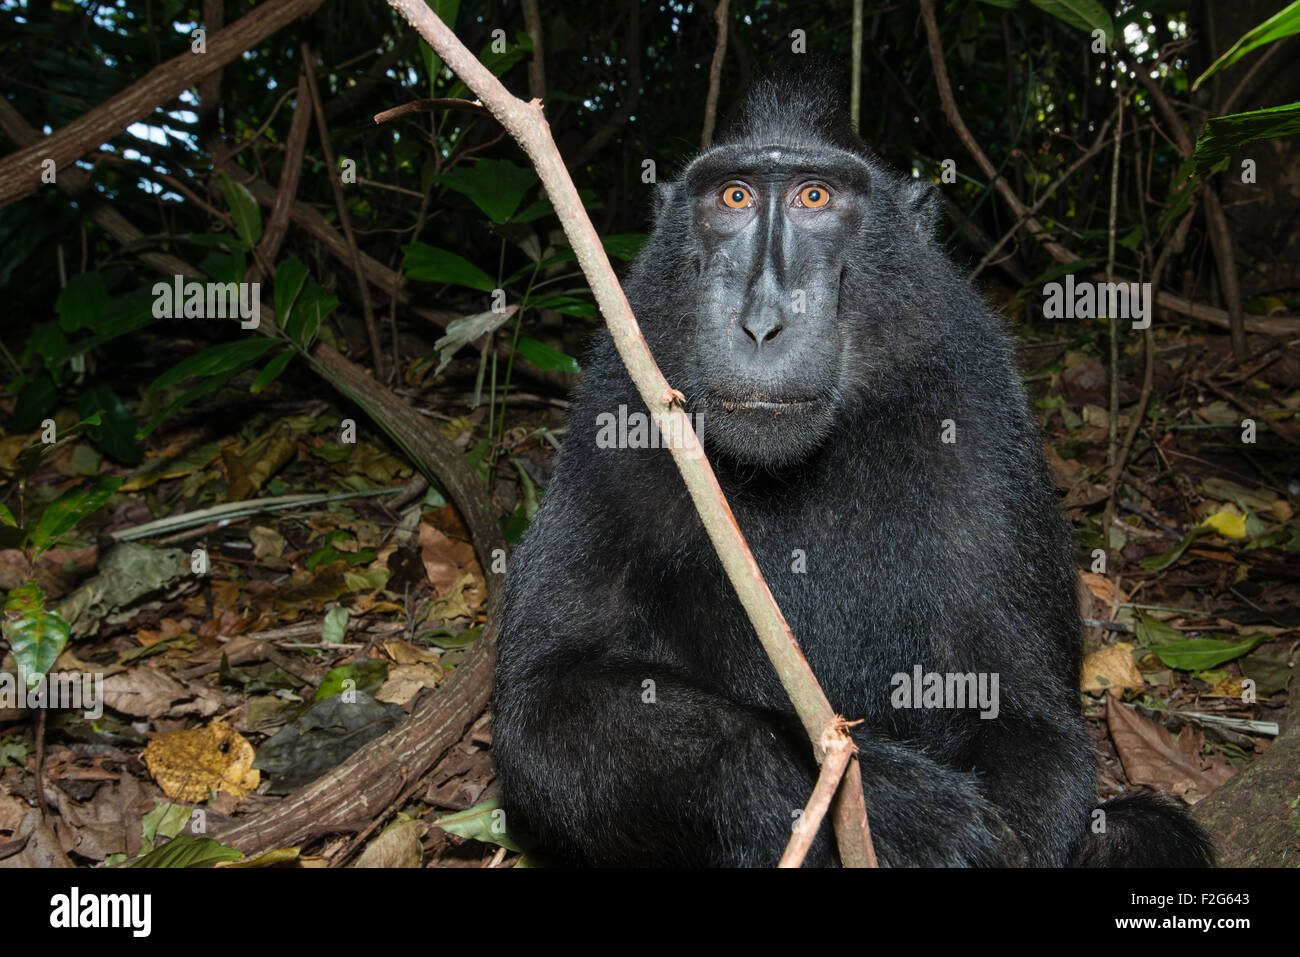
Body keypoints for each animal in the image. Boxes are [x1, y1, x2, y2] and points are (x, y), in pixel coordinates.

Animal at [490, 70, 1213, 867]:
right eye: (734, 197)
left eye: (815, 197)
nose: (763, 323)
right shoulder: (617, 406)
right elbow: (544, 709)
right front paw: (900, 814)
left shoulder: (981, 414)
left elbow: (1035, 730)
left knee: (1138, 831)